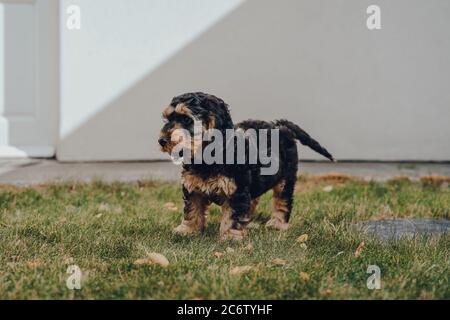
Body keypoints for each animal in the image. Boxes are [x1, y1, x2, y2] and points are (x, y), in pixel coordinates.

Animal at [159, 92, 334, 240]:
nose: (162, 141)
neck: (208, 156)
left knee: (283, 201)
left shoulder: (236, 190)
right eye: (168, 119)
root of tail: (281, 127)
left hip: (286, 178)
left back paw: (277, 223)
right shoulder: (192, 187)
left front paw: (230, 236)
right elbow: (192, 210)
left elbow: (232, 215)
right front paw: (188, 230)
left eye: (187, 119)